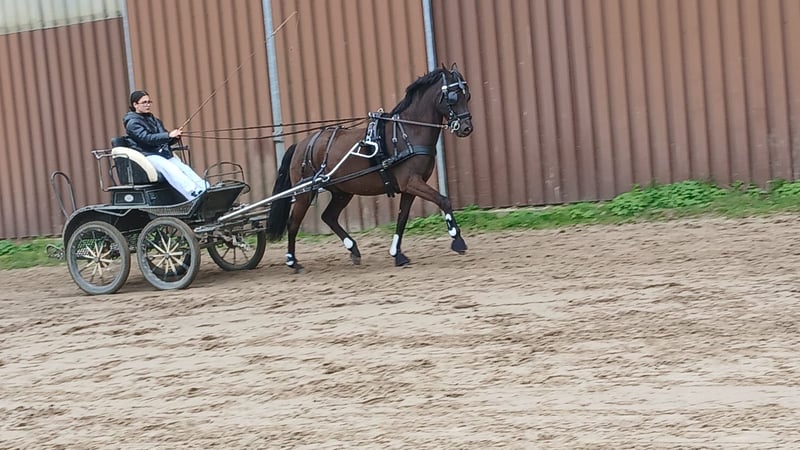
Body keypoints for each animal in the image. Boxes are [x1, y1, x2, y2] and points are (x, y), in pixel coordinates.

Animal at [266, 64, 474, 271]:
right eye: (453, 97)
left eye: (468, 95)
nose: (466, 128)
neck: (408, 132)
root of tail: (302, 144)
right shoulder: (411, 182)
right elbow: (443, 200)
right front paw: (458, 240)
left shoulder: (410, 187)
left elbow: (402, 219)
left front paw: (397, 254)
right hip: (305, 193)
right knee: (293, 223)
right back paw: (292, 260)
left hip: (342, 191)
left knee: (329, 217)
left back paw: (353, 249)